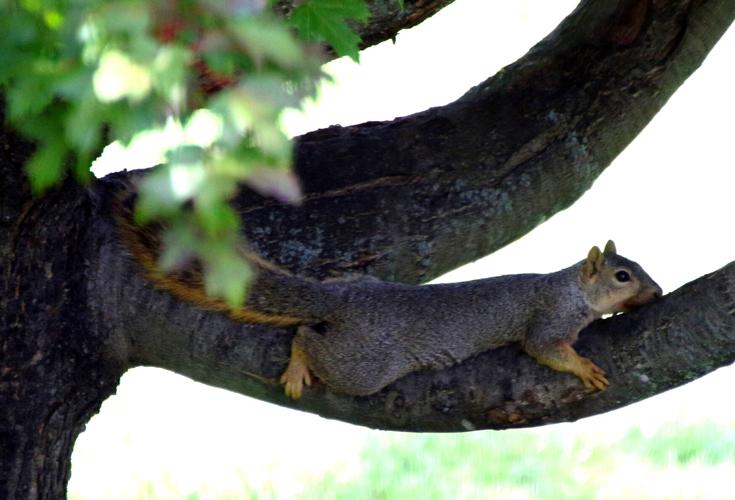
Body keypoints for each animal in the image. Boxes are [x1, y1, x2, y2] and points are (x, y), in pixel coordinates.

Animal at [115, 195, 663, 399]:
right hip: (366, 366)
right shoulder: (548, 319)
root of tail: (343, 302)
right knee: (304, 335)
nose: (657, 291)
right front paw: (583, 367)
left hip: (355, 289)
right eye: (622, 275)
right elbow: (544, 348)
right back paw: (297, 365)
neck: (571, 288)